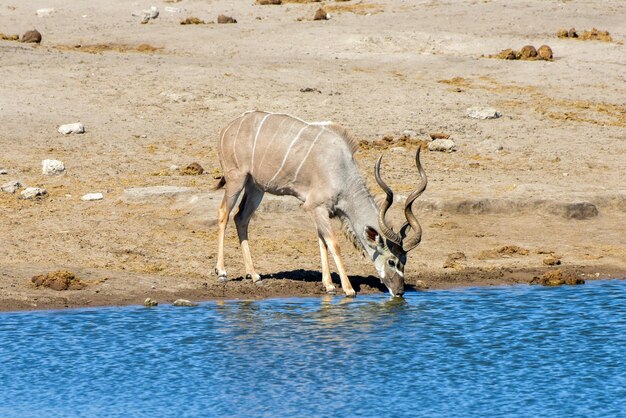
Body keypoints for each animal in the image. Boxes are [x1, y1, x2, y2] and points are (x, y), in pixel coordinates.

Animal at [213, 109, 424, 296]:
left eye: (405, 261)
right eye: (392, 261)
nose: (399, 292)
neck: (341, 170)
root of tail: (226, 128)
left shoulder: (320, 211)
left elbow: (322, 241)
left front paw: (329, 285)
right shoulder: (316, 207)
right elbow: (334, 244)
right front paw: (348, 289)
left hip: (256, 187)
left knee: (241, 218)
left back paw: (255, 275)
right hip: (236, 179)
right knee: (223, 212)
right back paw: (222, 272)